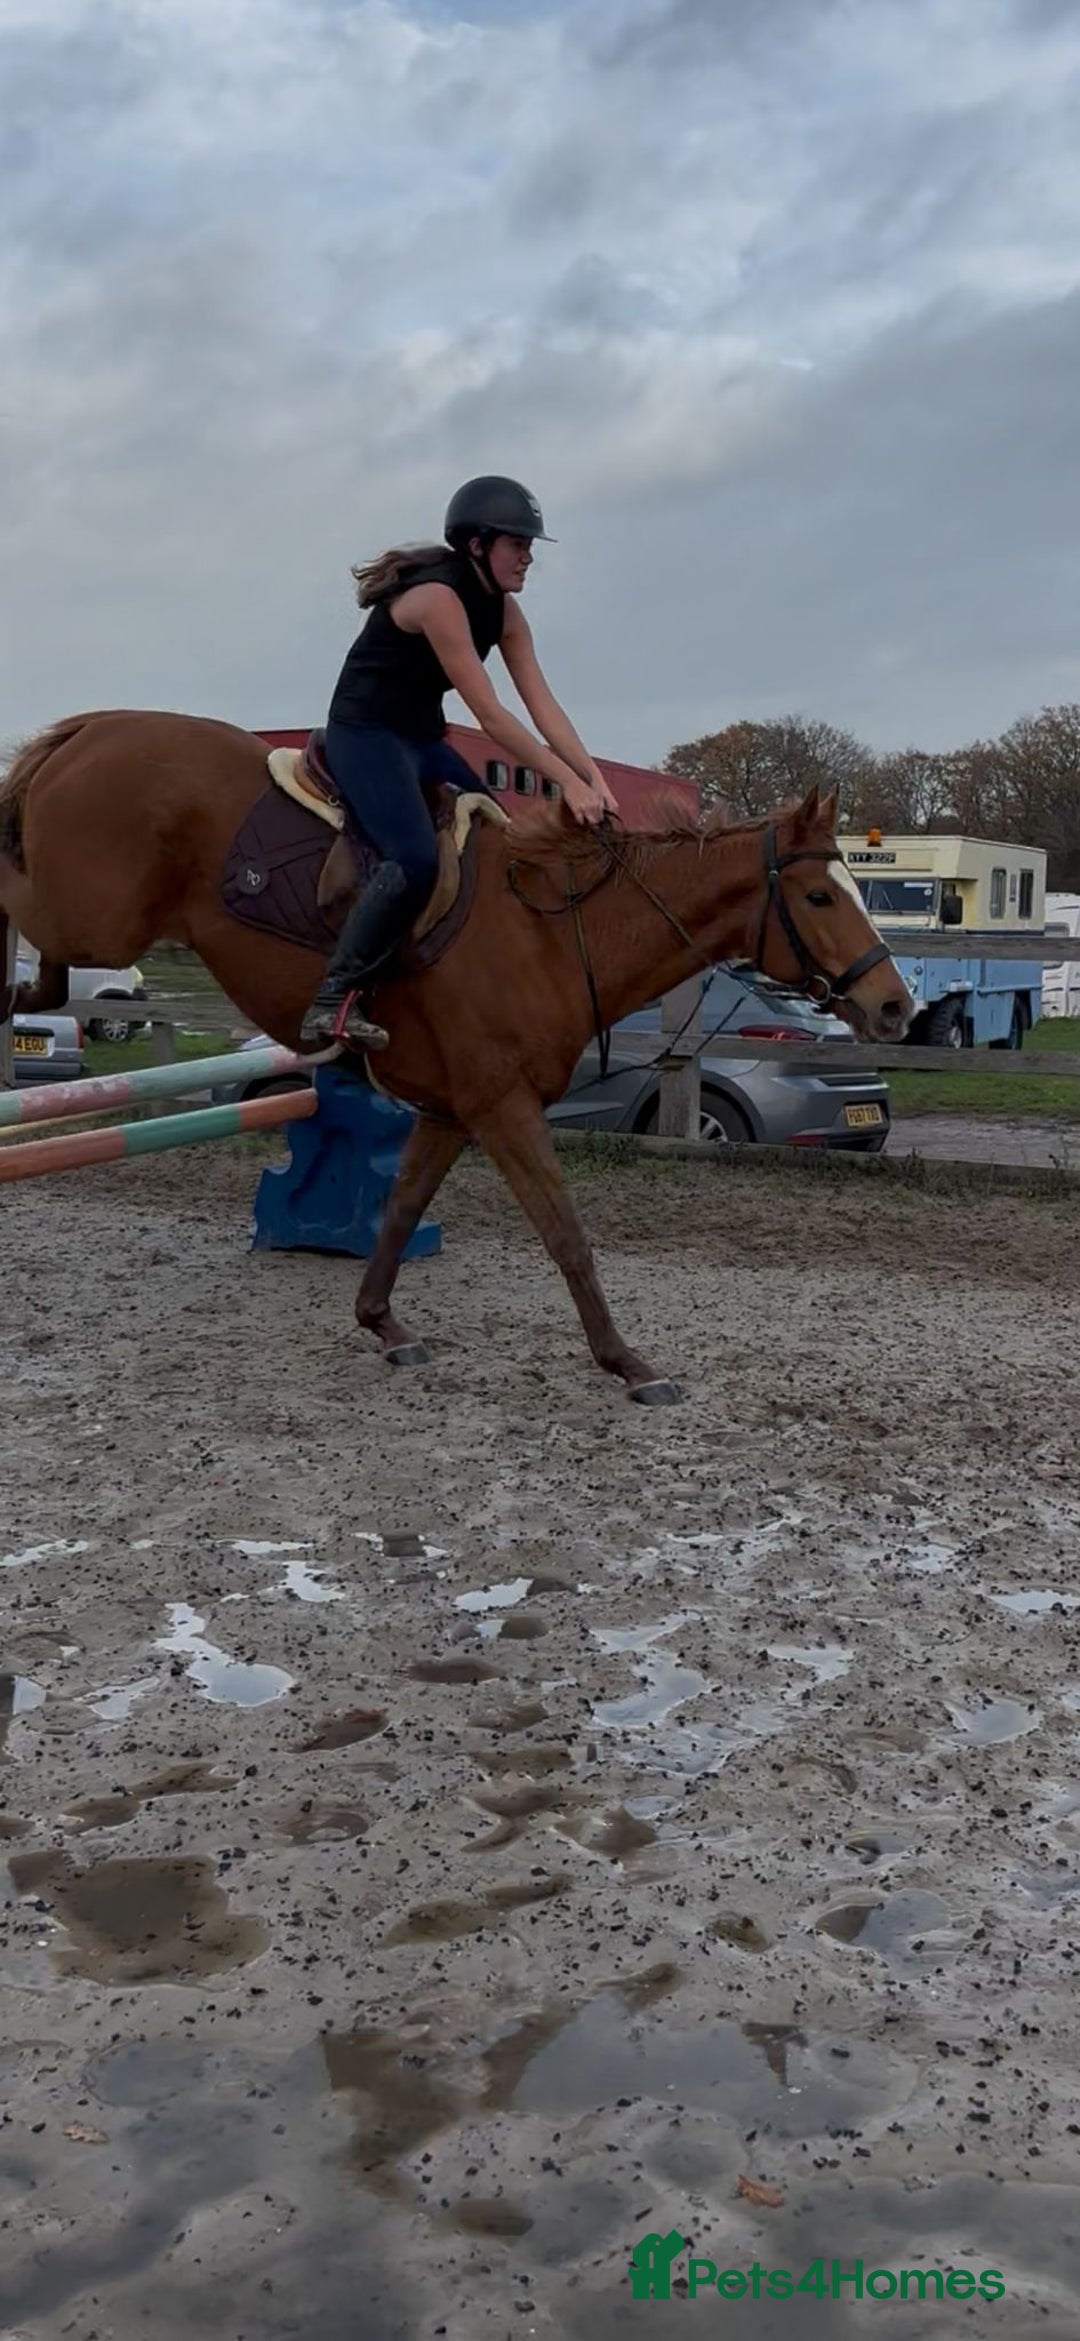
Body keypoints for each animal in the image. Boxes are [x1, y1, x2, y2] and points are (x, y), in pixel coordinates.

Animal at [0, 707, 914, 1401]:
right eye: (821, 895)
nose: (894, 1005)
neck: (554, 932)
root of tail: (96, 726)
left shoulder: (452, 1108)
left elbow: (402, 1209)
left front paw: (383, 1323)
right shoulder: (504, 1106)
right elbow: (566, 1232)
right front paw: (628, 1363)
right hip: (98, 918)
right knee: (29, 921)